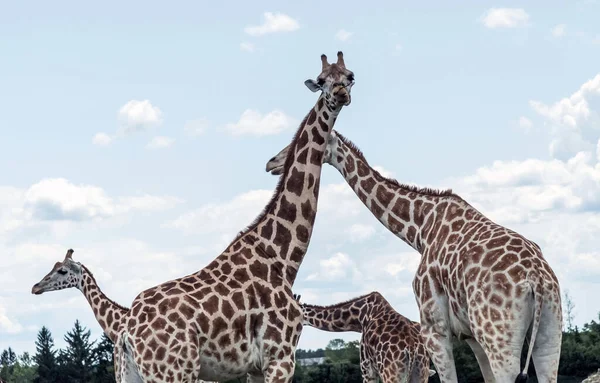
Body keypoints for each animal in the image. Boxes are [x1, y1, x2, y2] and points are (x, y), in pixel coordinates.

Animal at [101, 51, 354, 383]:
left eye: (350, 76)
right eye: (322, 80)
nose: (340, 95)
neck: (284, 257)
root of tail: (127, 334)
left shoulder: (255, 367)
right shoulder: (281, 356)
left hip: (129, 371)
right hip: (175, 372)